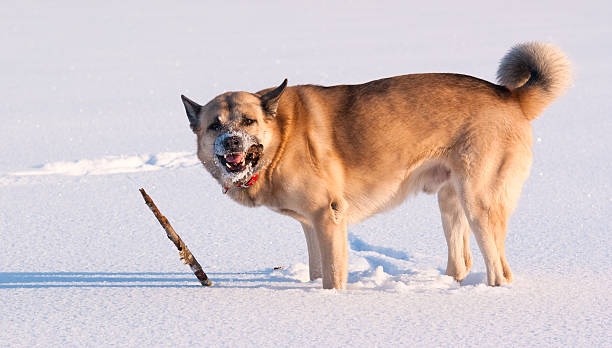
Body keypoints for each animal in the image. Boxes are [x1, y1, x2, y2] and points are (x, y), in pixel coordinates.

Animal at [180, 42, 568, 288]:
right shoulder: (310, 224)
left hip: (479, 202)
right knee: (462, 262)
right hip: (450, 200)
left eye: (248, 122)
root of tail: (512, 96)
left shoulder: (328, 217)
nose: (231, 142)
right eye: (215, 125)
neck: (283, 138)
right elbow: (317, 271)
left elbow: (333, 278)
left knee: (500, 271)